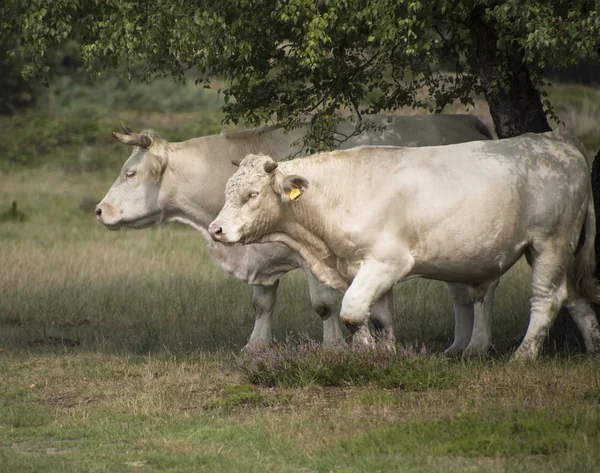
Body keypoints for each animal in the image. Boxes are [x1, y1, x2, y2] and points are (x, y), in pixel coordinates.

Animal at [96, 113, 494, 350]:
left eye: (130, 173)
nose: (100, 210)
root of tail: (463, 117)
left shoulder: (312, 255)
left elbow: (324, 304)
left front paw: (333, 349)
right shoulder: (258, 251)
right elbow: (262, 303)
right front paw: (255, 349)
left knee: (479, 293)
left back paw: (475, 346)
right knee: (461, 293)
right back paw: (458, 346)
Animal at [210, 129, 600, 358]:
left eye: (252, 194)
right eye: (227, 190)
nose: (216, 229)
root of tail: (557, 140)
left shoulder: (387, 262)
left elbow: (352, 311)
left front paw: (366, 354)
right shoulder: (363, 266)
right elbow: (380, 317)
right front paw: (383, 354)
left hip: (550, 242)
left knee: (547, 298)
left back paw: (523, 356)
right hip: (559, 250)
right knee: (574, 297)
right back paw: (593, 349)